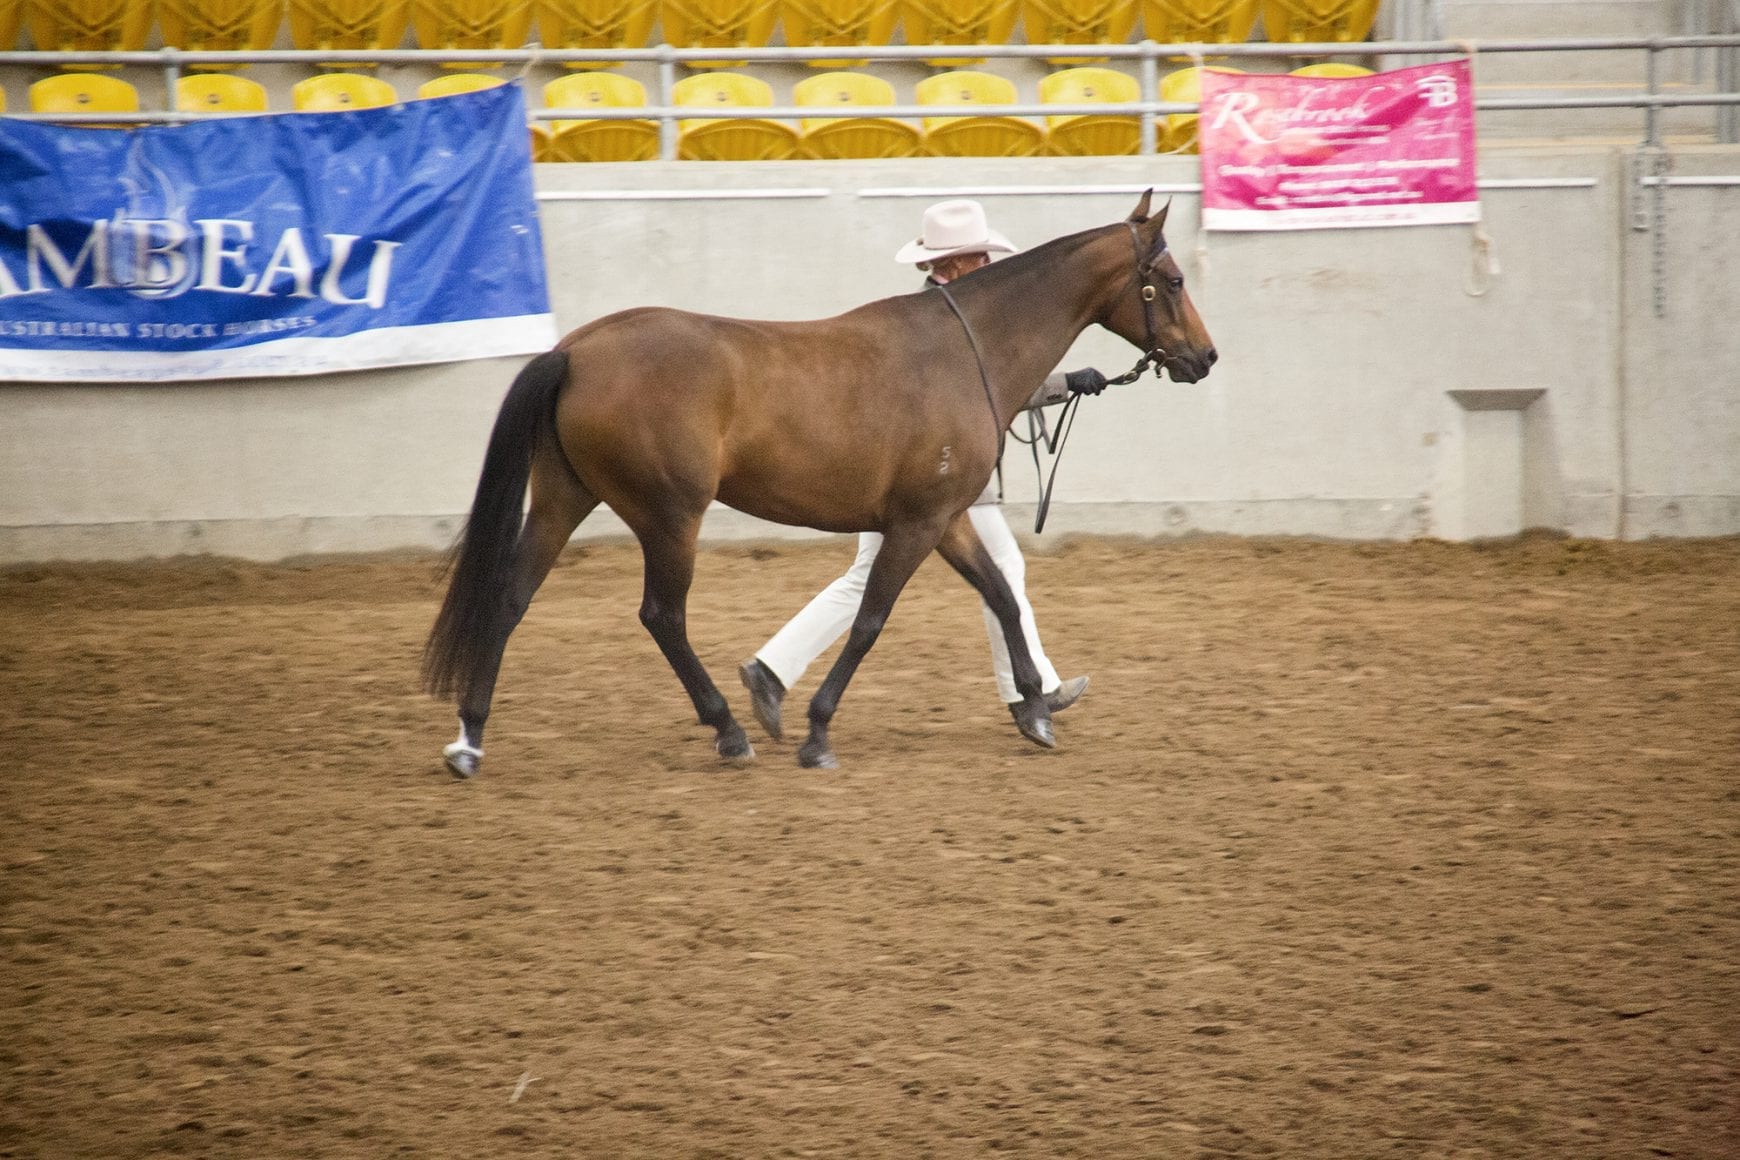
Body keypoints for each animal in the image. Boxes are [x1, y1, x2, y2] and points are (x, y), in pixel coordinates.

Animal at [422, 191, 1216, 776]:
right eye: (1175, 281)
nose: (1205, 358)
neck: (966, 350)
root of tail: (575, 351)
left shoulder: (947, 519)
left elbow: (1000, 596)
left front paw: (1035, 709)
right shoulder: (916, 524)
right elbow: (869, 621)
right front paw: (817, 734)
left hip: (564, 498)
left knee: (510, 597)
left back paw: (470, 740)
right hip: (670, 516)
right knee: (661, 616)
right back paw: (729, 730)